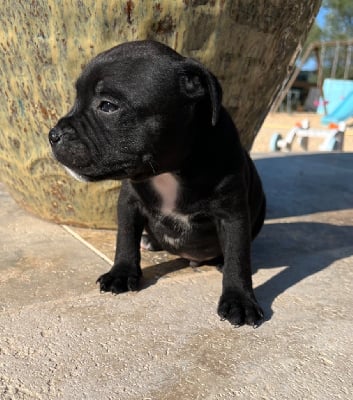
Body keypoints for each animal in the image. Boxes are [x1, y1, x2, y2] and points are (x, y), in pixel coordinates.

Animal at [48, 39, 264, 328]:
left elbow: (238, 257)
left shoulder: (232, 213)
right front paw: (121, 273)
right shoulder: (129, 202)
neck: (170, 170)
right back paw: (150, 241)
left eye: (107, 106)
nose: (53, 134)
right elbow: (125, 238)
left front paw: (239, 299)